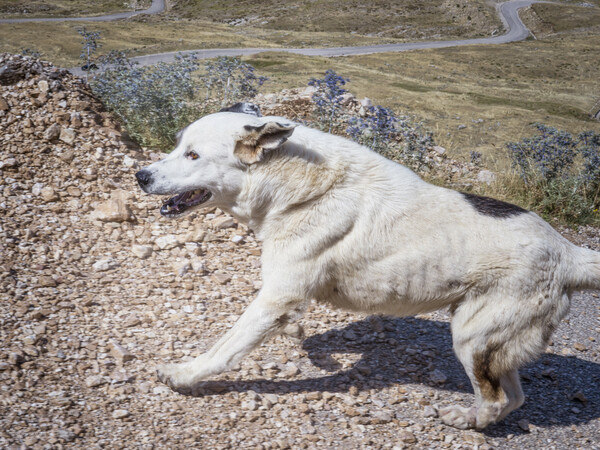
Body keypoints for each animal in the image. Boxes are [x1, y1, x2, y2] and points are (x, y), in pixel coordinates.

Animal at [136, 109, 600, 428]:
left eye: (193, 155)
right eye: (177, 147)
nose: (141, 175)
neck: (299, 184)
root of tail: (567, 251)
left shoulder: (276, 298)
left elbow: (225, 348)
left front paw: (184, 374)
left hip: (473, 337)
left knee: (498, 398)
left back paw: (466, 420)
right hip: (491, 339)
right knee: (515, 397)